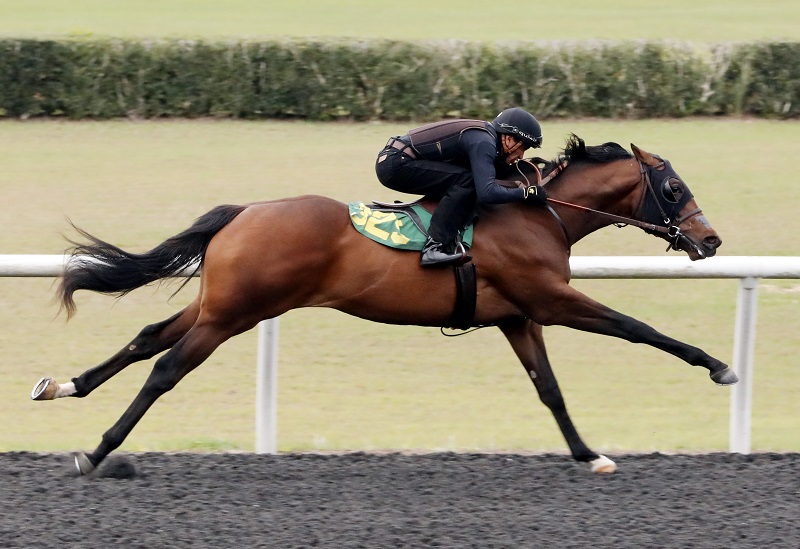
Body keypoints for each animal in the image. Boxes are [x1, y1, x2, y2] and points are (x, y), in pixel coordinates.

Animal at [32, 135, 744, 474]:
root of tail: (244, 212)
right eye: (674, 188)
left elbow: (550, 391)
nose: (710, 240)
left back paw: (63, 386)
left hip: (223, 304)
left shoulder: (517, 316)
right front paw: (718, 365)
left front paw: (588, 453)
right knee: (165, 368)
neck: (539, 212)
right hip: (234, 315)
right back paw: (96, 452)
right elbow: (636, 326)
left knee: (148, 337)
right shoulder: (552, 298)